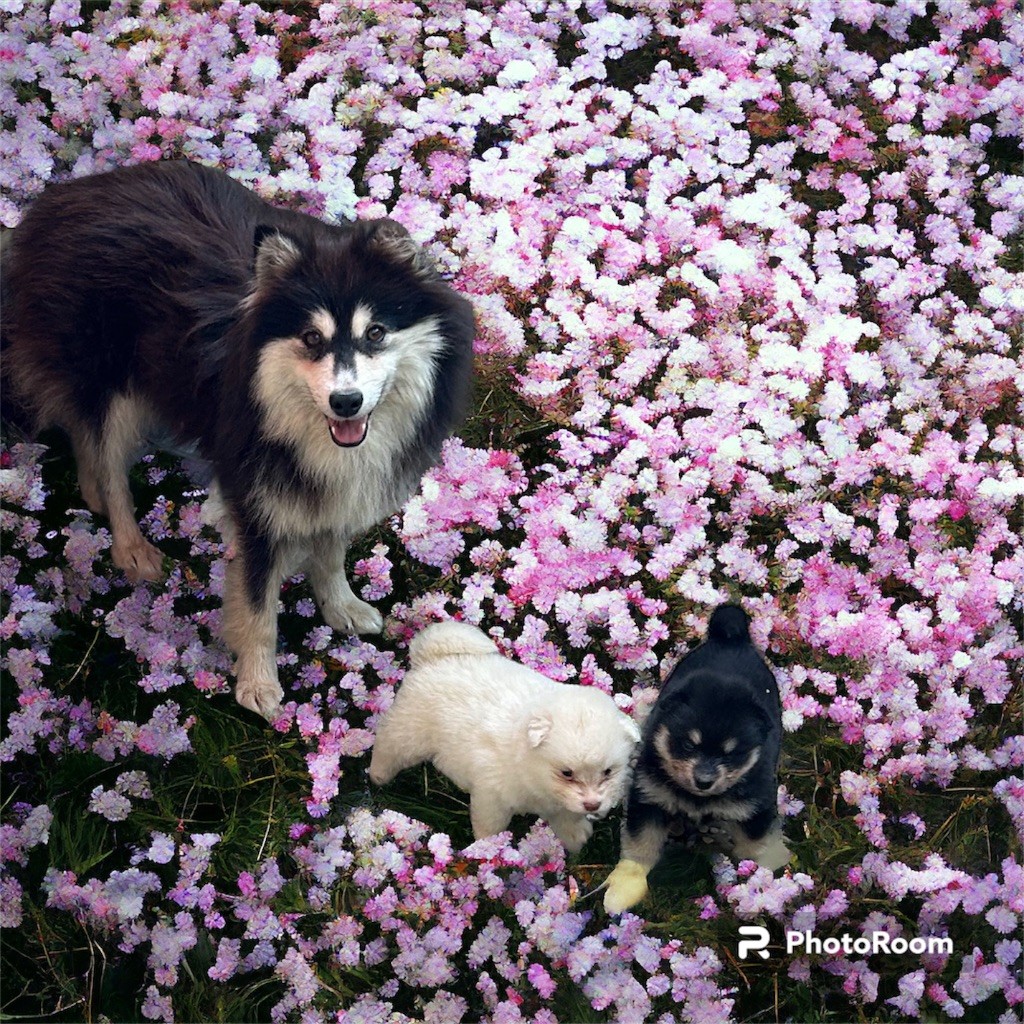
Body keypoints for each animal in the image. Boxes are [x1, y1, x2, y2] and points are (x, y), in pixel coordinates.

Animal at [368, 618, 638, 851]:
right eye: (567, 773)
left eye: (608, 772)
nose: (593, 805)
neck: (527, 762)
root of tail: (433, 657)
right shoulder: (492, 796)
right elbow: (490, 826)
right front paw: (488, 849)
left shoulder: (556, 801)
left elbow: (565, 813)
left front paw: (574, 834)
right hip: (410, 731)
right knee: (388, 745)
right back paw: (378, 775)